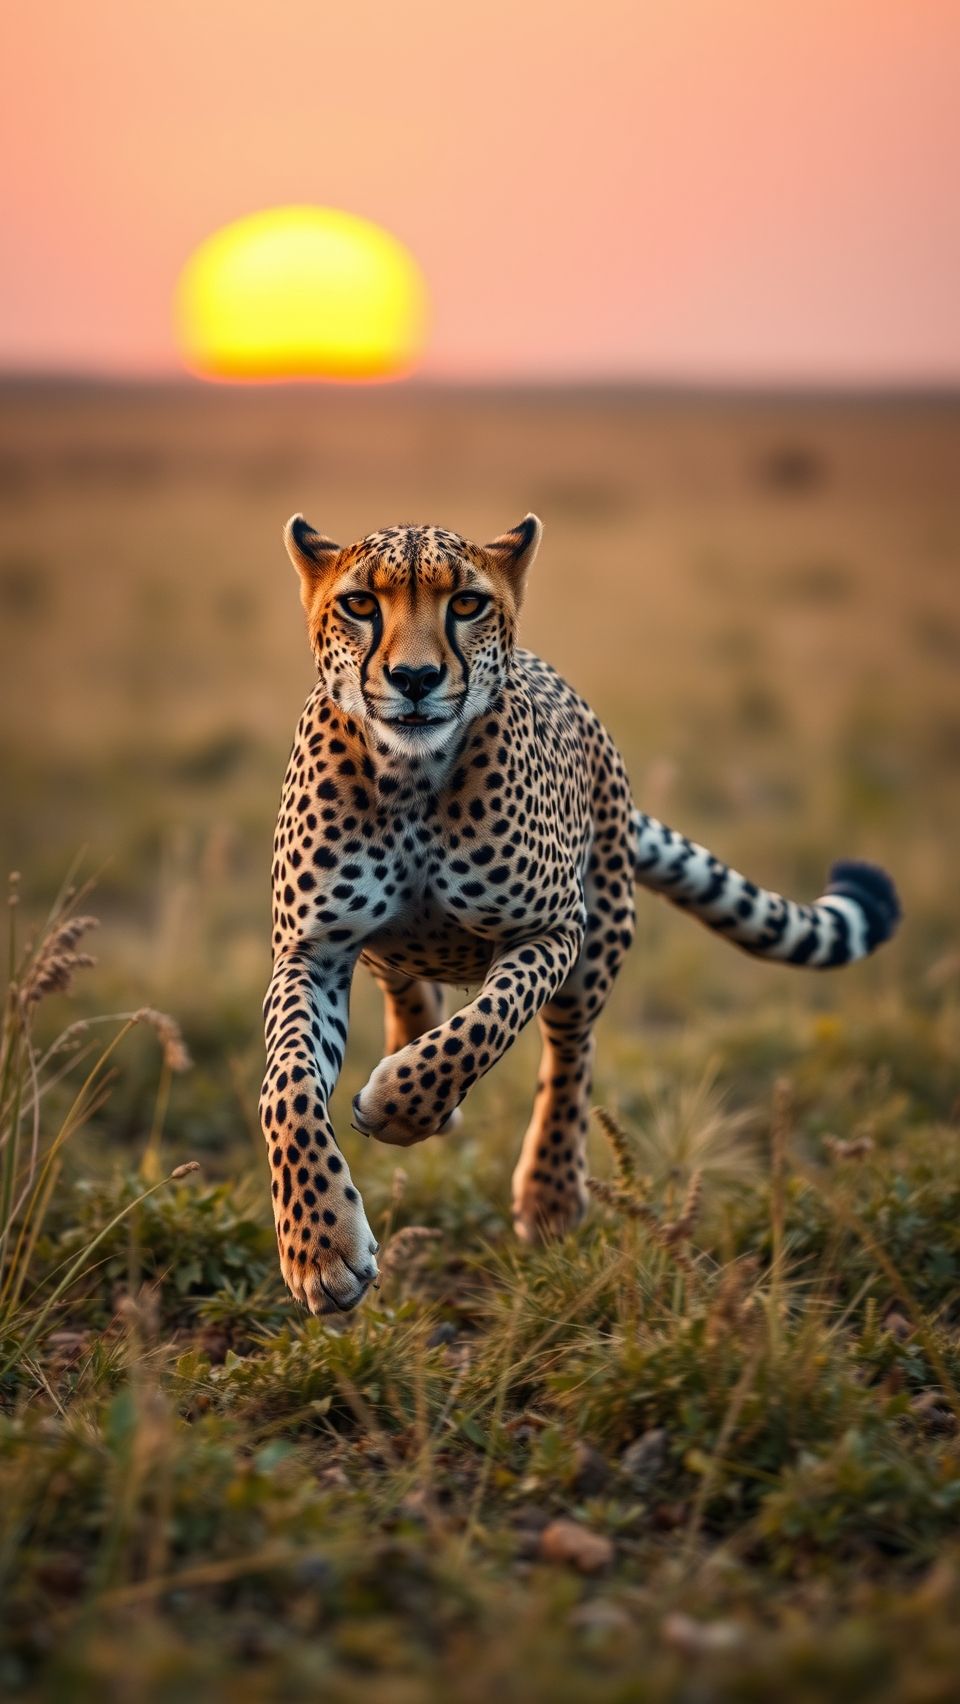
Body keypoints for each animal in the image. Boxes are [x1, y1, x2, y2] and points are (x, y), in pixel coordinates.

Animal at [260, 511, 900, 1315]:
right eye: (359, 604)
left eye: (465, 603)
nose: (415, 679)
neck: (411, 777)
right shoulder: (311, 952)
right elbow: (286, 1089)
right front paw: (319, 1244)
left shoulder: (554, 928)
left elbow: (483, 1028)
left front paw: (406, 1106)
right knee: (404, 985)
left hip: (600, 933)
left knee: (569, 1052)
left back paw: (550, 1191)